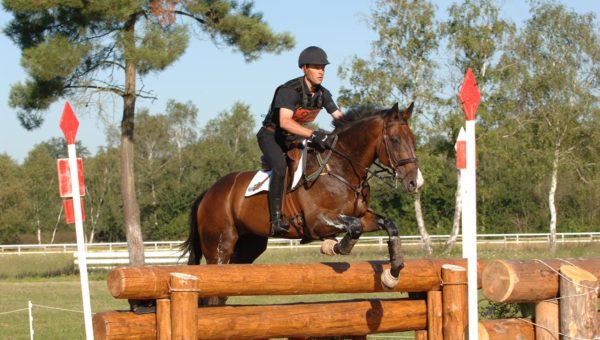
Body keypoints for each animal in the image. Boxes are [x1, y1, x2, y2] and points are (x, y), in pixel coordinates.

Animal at [182, 101, 422, 302]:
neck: (340, 168)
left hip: (249, 245)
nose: (415, 182)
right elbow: (353, 227)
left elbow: (387, 224)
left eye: (413, 140)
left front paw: (393, 272)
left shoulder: (362, 215)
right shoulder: (316, 221)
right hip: (219, 247)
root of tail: (208, 193)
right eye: (394, 140)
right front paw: (333, 246)